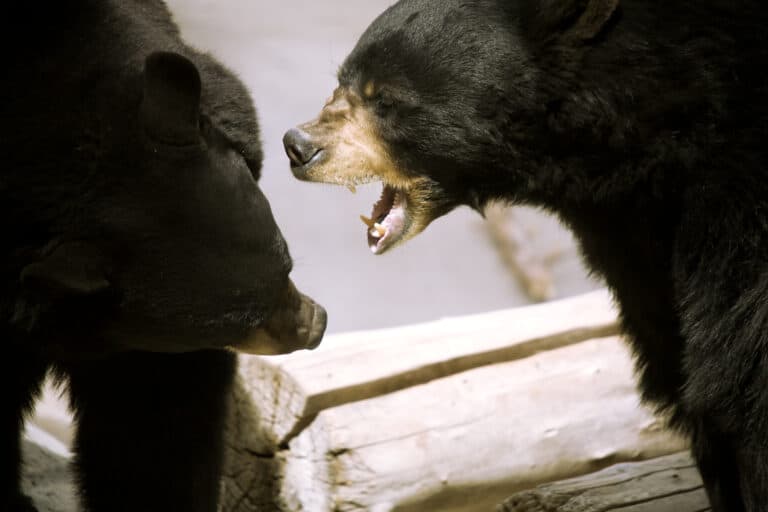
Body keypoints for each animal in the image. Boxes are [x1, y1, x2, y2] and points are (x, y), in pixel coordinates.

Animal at [283, 0, 768, 510]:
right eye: (342, 81)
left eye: (386, 100)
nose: (298, 145)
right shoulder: (632, 225)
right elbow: (669, 341)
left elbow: (740, 356)